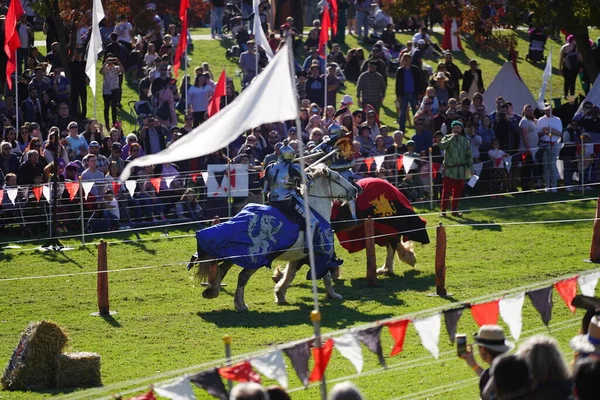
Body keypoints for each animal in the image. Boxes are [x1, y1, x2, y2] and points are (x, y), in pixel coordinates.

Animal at [192, 164, 358, 310]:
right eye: (337, 177)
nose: (355, 190)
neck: (314, 207)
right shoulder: (321, 253)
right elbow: (326, 276)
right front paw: (333, 295)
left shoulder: (298, 257)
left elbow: (289, 275)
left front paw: (280, 294)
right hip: (255, 259)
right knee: (242, 277)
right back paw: (240, 305)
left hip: (235, 255)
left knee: (221, 270)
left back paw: (212, 292)